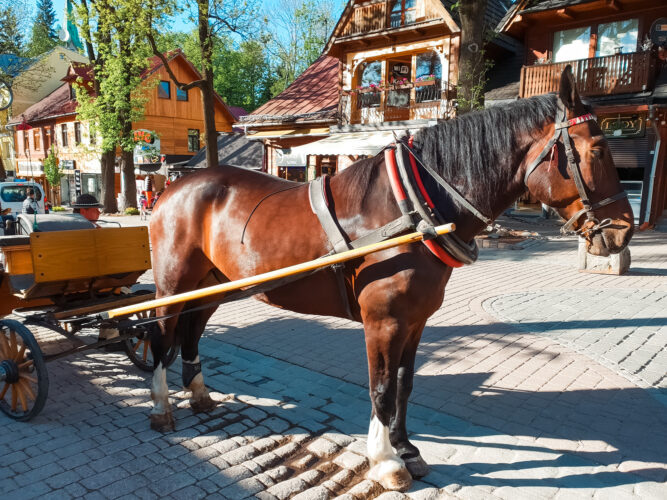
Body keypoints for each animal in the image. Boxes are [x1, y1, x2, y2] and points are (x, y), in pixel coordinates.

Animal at [149, 68, 636, 490]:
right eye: (596, 150)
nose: (625, 230)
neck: (413, 210)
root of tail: (172, 187)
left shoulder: (415, 321)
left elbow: (404, 385)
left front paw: (407, 448)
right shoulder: (384, 322)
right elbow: (381, 389)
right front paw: (385, 460)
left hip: (211, 286)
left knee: (191, 333)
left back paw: (197, 393)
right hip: (172, 285)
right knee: (161, 336)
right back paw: (160, 404)